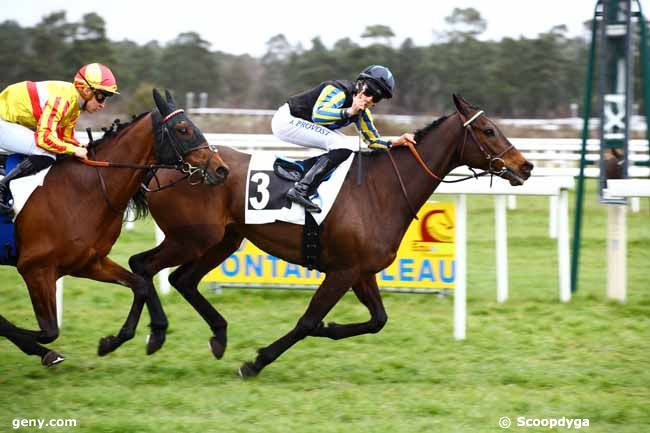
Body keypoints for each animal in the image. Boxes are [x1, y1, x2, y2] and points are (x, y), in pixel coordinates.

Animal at [0, 89, 229, 366]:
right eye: (183, 129)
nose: (221, 169)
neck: (87, 190)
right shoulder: (35, 268)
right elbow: (48, 331)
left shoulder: (88, 262)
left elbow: (140, 286)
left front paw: (111, 341)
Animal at [128, 93, 532, 374]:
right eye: (489, 130)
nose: (524, 166)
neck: (381, 189)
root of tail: (164, 168)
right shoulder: (342, 271)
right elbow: (307, 321)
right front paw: (257, 361)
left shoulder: (362, 271)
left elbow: (377, 320)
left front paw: (331, 328)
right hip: (191, 237)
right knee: (142, 266)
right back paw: (150, 334)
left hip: (222, 239)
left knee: (182, 279)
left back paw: (217, 335)